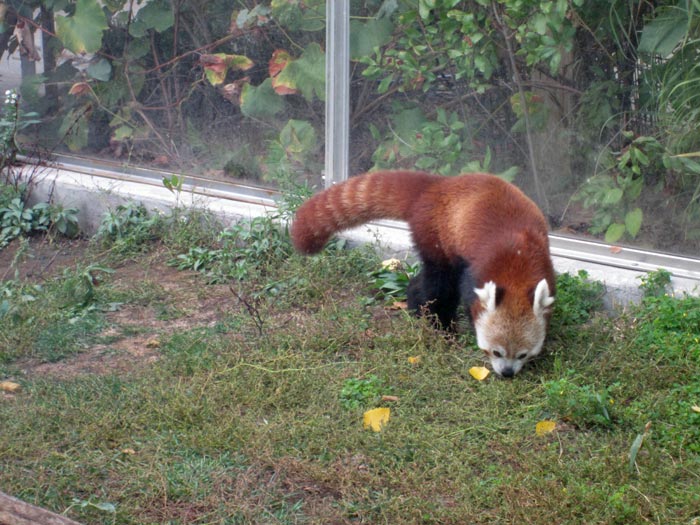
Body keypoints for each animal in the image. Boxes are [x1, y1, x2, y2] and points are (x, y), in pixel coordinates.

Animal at [292, 170, 556, 374]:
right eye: (496, 352)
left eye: (522, 355)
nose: (507, 373)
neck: (516, 265)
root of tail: (437, 186)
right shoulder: (477, 269)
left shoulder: (544, 263)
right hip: (437, 235)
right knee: (438, 283)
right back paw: (435, 322)